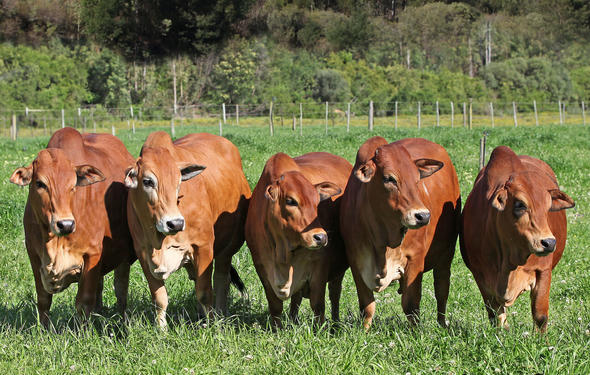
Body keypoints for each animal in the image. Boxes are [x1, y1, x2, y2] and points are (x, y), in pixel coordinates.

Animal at [9, 128, 137, 328]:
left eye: (73, 185)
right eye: (40, 183)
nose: (66, 224)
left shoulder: (93, 253)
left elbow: (84, 302)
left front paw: (83, 331)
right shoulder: (34, 254)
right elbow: (43, 299)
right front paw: (45, 330)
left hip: (124, 257)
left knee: (121, 290)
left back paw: (123, 320)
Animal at [126, 132, 251, 328]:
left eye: (179, 183)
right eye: (147, 181)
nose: (175, 223)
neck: (159, 240)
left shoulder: (203, 247)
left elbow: (205, 292)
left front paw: (211, 326)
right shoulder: (143, 254)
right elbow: (160, 298)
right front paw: (161, 329)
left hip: (227, 249)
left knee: (221, 280)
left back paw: (220, 314)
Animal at [245, 153, 352, 328]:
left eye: (317, 202)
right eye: (291, 201)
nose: (321, 237)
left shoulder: (319, 266)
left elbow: (318, 305)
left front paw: (319, 329)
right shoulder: (262, 267)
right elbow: (275, 306)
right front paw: (277, 329)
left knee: (334, 293)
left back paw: (335, 324)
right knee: (296, 298)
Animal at [342, 137, 462, 330]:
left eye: (417, 179)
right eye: (389, 178)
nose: (423, 216)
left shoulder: (415, 259)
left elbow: (411, 304)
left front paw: (416, 332)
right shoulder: (356, 261)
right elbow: (367, 306)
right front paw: (363, 331)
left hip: (447, 253)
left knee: (442, 289)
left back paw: (442, 323)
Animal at [462, 145, 572, 334]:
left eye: (548, 207)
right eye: (520, 204)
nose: (549, 243)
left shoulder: (543, 270)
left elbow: (540, 315)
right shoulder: (480, 275)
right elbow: (495, 314)